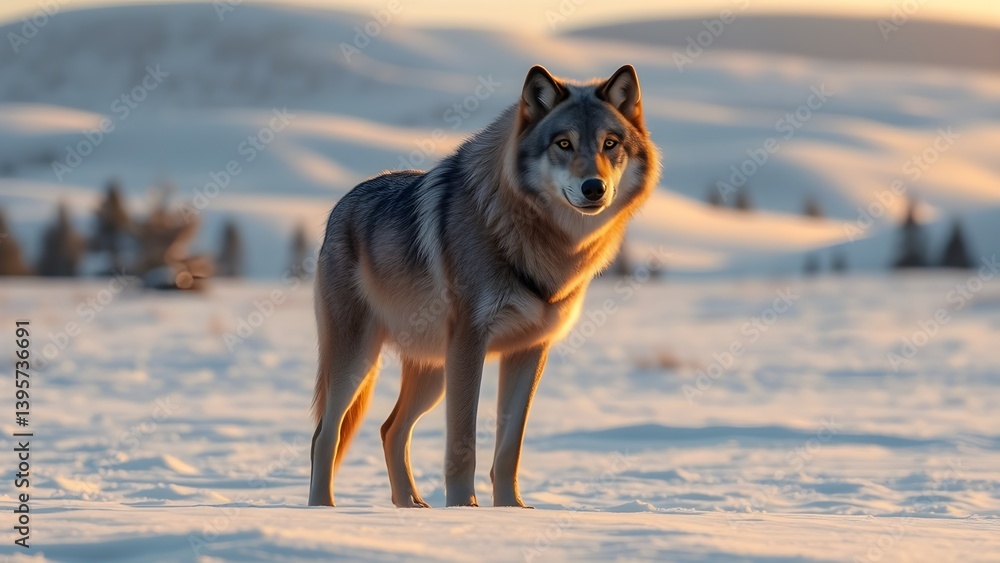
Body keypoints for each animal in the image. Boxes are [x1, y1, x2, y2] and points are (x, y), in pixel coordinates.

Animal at [308, 64, 661, 507]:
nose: (594, 187)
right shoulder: (470, 343)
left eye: (609, 144)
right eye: (563, 143)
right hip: (359, 361)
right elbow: (463, 443)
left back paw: (410, 506)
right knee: (326, 435)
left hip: (432, 374)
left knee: (391, 429)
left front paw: (509, 509)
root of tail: (341, 204)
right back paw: (322, 508)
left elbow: (510, 447)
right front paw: (464, 508)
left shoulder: (530, 350)